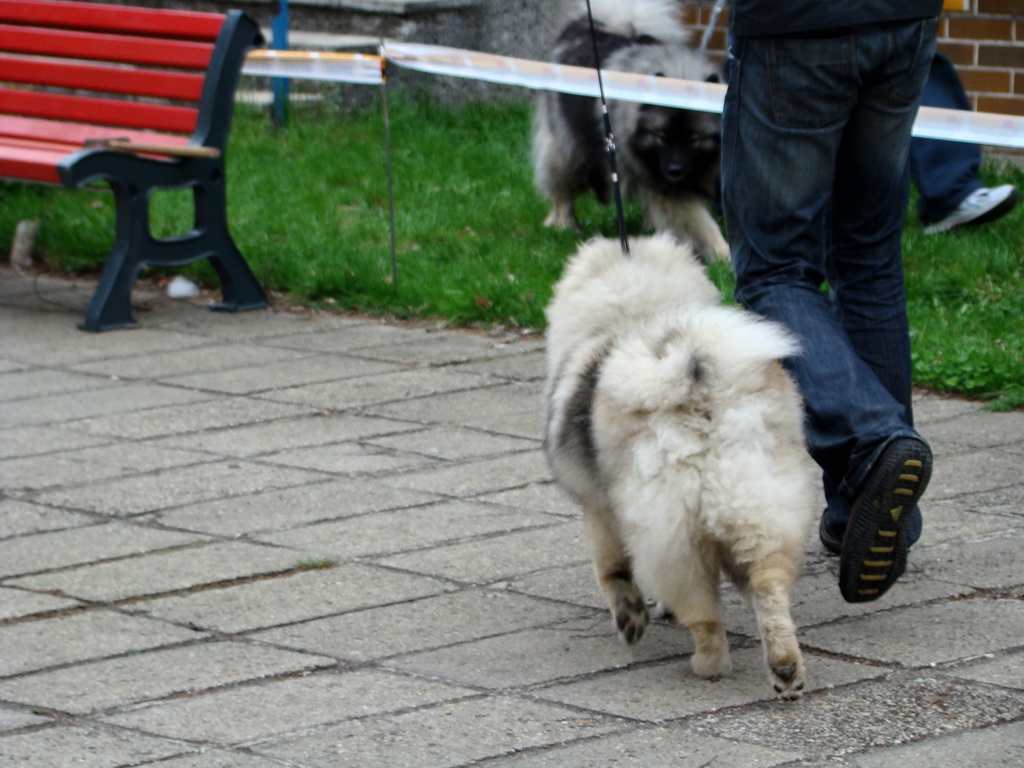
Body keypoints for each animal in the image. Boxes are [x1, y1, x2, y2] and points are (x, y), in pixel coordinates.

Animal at [532, 0, 724, 262]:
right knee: (562, 189)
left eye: (694, 138)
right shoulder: (667, 187)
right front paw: (723, 255)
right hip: (567, 149)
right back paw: (563, 225)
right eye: (662, 136)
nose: (674, 171)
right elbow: (700, 223)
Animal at [544, 233, 815, 696]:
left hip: (674, 538)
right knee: (769, 588)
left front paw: (631, 615)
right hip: (762, 508)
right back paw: (784, 667)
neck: (631, 315)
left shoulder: (600, 511)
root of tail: (698, 397)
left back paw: (708, 664)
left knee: (704, 613)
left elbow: (612, 571)